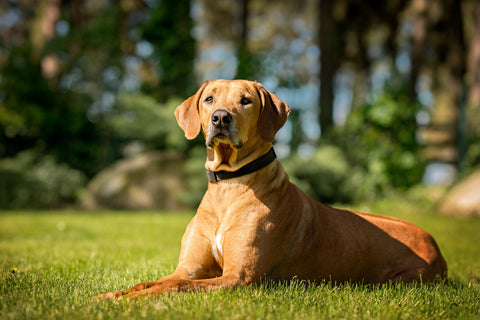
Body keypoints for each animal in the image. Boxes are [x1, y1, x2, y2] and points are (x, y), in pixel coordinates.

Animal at [97, 80, 446, 300]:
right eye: (210, 99)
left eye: (245, 101)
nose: (220, 118)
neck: (230, 185)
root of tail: (433, 241)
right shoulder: (188, 269)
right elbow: (152, 282)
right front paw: (111, 294)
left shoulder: (238, 277)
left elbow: (173, 288)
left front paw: (129, 302)